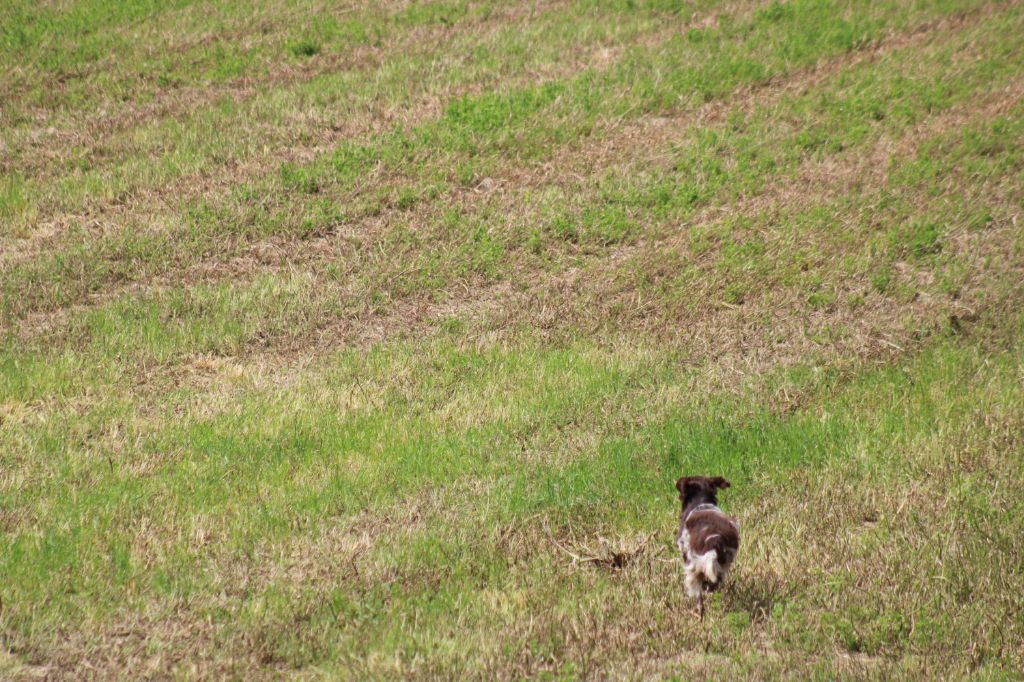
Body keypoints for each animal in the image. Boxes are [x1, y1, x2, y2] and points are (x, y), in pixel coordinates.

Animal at [675, 473, 741, 614]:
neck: (701, 503)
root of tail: (714, 539)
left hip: (693, 565)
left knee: (699, 590)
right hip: (724, 561)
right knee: (716, 582)